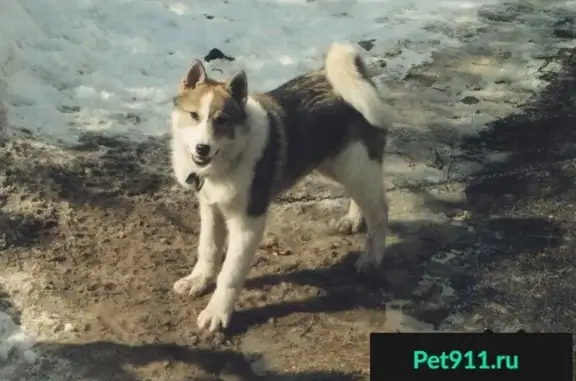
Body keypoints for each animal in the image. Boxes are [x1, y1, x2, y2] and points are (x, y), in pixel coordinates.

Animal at [169, 41, 390, 332]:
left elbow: (230, 273)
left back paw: (372, 257)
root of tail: (360, 76)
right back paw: (354, 219)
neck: (232, 155)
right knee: (364, 199)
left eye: (222, 120)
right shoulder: (211, 208)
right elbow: (207, 249)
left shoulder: (248, 224)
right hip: (336, 164)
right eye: (193, 116)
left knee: (380, 210)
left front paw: (217, 312)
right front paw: (199, 280)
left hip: (354, 165)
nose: (202, 149)